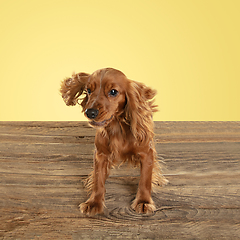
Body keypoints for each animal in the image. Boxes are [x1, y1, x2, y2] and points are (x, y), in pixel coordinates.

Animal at [60, 67, 167, 216]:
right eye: (89, 90)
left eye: (113, 92)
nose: (90, 112)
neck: (117, 128)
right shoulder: (101, 155)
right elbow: (98, 179)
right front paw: (94, 202)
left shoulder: (146, 153)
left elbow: (145, 179)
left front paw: (143, 201)